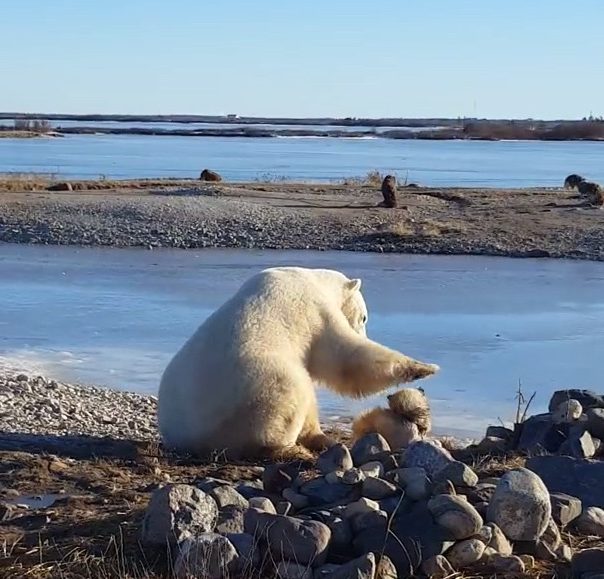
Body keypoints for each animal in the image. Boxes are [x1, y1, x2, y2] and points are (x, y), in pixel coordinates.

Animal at [157, 268, 438, 462]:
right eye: (365, 316)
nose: (364, 331)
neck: (313, 280)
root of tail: (185, 437)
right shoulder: (314, 312)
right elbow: (344, 356)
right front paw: (424, 368)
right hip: (255, 387)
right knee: (291, 392)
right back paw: (293, 449)